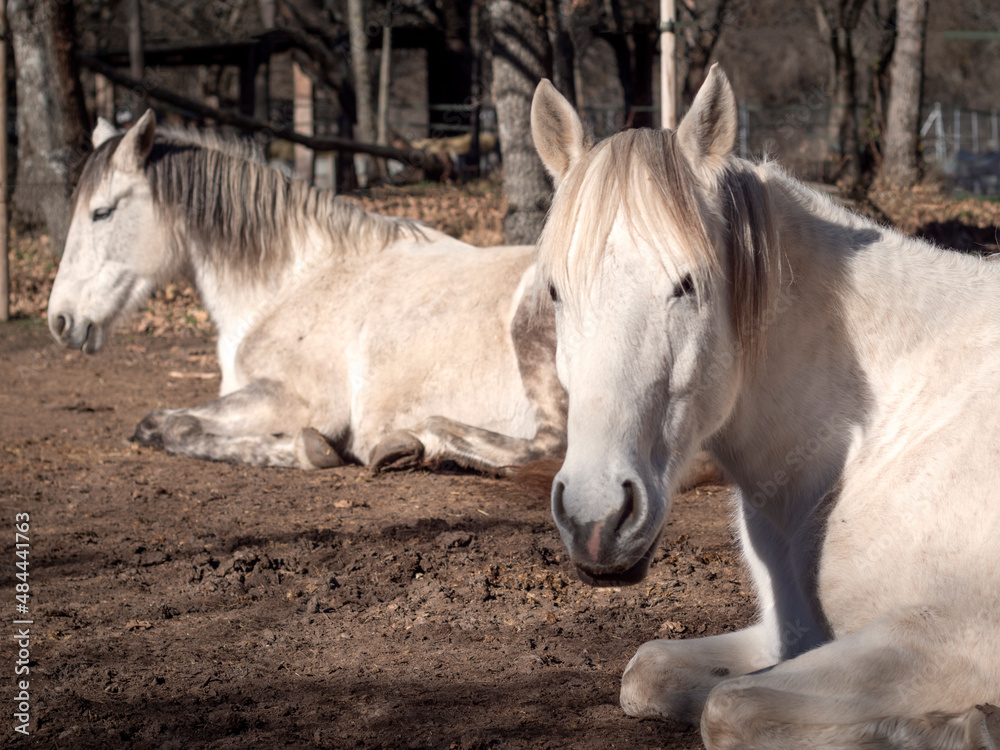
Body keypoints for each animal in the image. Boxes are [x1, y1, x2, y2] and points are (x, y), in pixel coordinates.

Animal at [46, 111, 566, 474]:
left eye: (101, 212)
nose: (60, 320)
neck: (292, 281)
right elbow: (155, 422)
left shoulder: (297, 400)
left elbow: (174, 424)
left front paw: (304, 450)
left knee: (551, 447)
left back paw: (416, 441)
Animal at [530, 65, 1000, 748]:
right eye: (555, 291)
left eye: (688, 284)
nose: (596, 519)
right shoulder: (792, 632)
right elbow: (649, 672)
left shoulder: (956, 638)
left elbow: (730, 709)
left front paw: (958, 725)